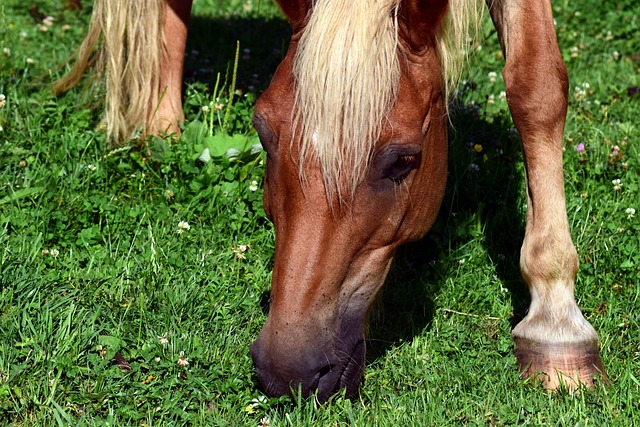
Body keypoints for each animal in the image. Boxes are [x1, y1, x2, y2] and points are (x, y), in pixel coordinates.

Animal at [55, 0, 604, 402]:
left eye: (404, 160)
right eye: (262, 131)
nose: (288, 371)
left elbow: (537, 86)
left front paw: (557, 325)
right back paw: (163, 132)